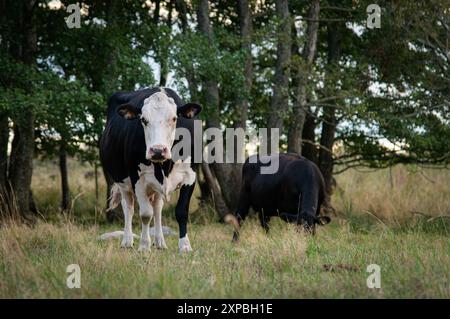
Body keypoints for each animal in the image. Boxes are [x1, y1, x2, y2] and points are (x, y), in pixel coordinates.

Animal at [102, 87, 202, 252]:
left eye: (174, 118)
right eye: (143, 120)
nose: (157, 150)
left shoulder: (189, 175)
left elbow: (181, 211)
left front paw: (185, 246)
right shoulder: (138, 178)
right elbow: (145, 214)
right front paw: (144, 246)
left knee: (157, 208)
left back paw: (160, 242)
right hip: (123, 182)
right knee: (128, 207)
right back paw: (127, 241)